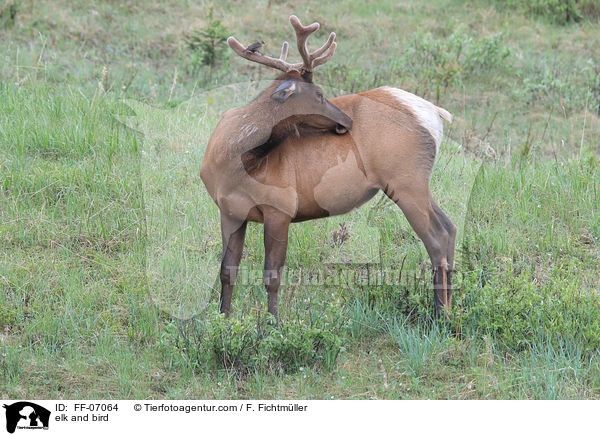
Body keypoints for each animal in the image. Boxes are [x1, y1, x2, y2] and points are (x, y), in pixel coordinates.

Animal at [199, 15, 458, 320]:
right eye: (320, 94)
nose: (347, 121)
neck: (235, 163)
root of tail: (435, 114)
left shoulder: (280, 207)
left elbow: (272, 275)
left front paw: (273, 324)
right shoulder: (229, 210)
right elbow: (227, 270)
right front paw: (223, 319)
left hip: (406, 181)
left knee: (437, 237)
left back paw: (441, 315)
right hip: (414, 183)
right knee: (450, 227)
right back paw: (450, 308)